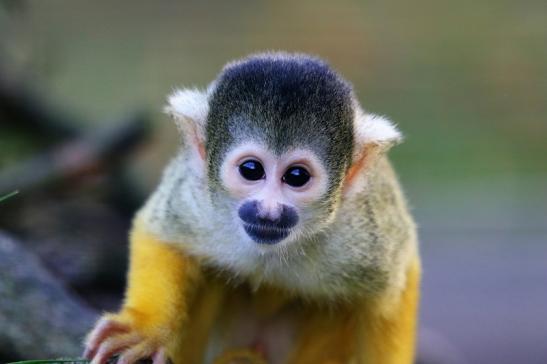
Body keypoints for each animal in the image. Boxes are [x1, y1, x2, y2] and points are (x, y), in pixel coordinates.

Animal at [83, 52, 422, 364]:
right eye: (251, 170)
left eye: (296, 176)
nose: (268, 211)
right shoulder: (198, 197)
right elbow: (158, 234)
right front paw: (144, 328)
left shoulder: (363, 235)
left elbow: (391, 293)